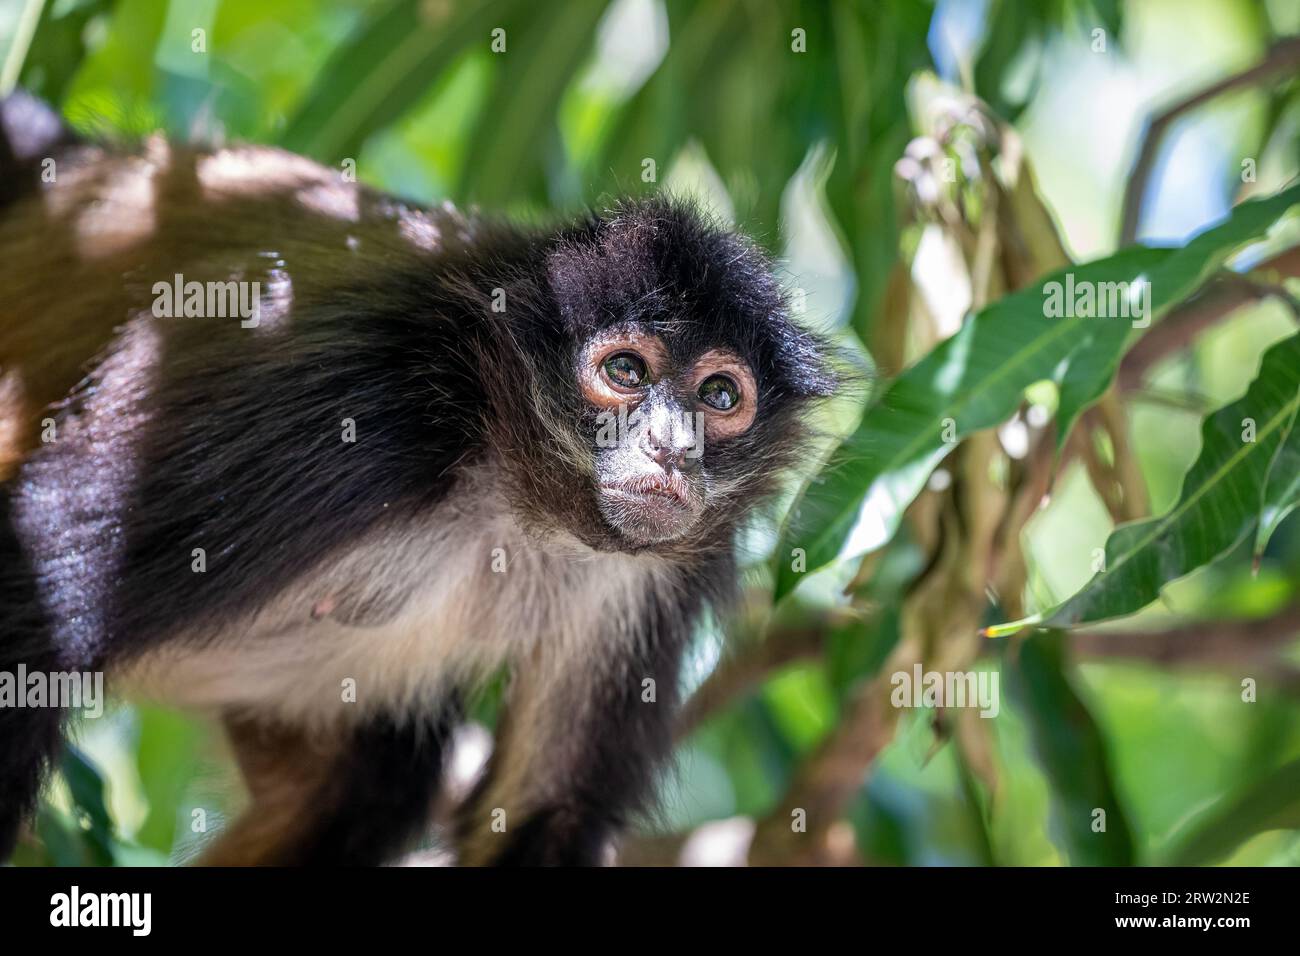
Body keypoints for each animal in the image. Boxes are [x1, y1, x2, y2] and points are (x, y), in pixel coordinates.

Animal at [0, 95, 832, 868]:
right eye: (625, 372)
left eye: (718, 395)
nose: (671, 448)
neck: (517, 503)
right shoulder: (375, 414)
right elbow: (35, 620)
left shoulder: (660, 569)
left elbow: (546, 810)